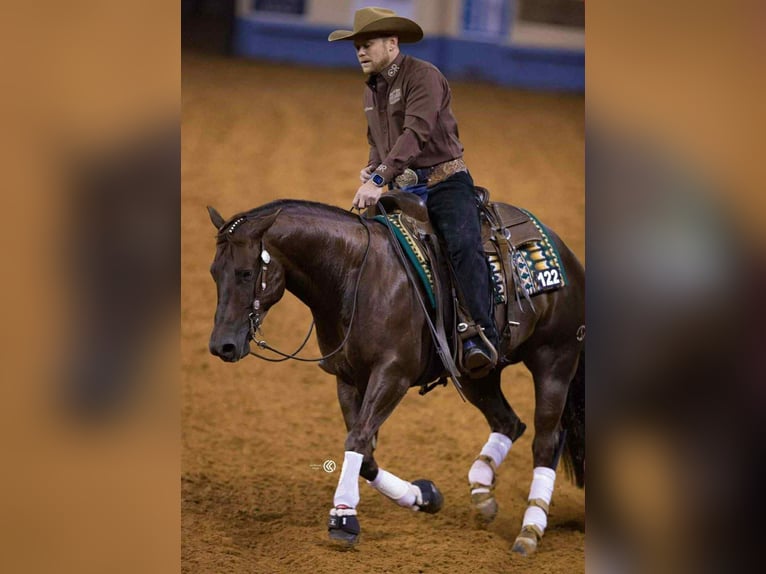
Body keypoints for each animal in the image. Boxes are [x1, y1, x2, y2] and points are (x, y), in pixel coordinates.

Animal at [207, 198, 585, 556]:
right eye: (214, 273)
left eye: (245, 273)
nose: (222, 345)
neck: (357, 277)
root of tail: (565, 253)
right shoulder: (347, 379)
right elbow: (365, 452)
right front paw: (423, 496)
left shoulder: (392, 375)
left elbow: (357, 440)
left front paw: (343, 519)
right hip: (478, 372)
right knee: (508, 422)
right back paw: (482, 493)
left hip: (555, 359)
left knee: (545, 441)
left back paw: (529, 531)